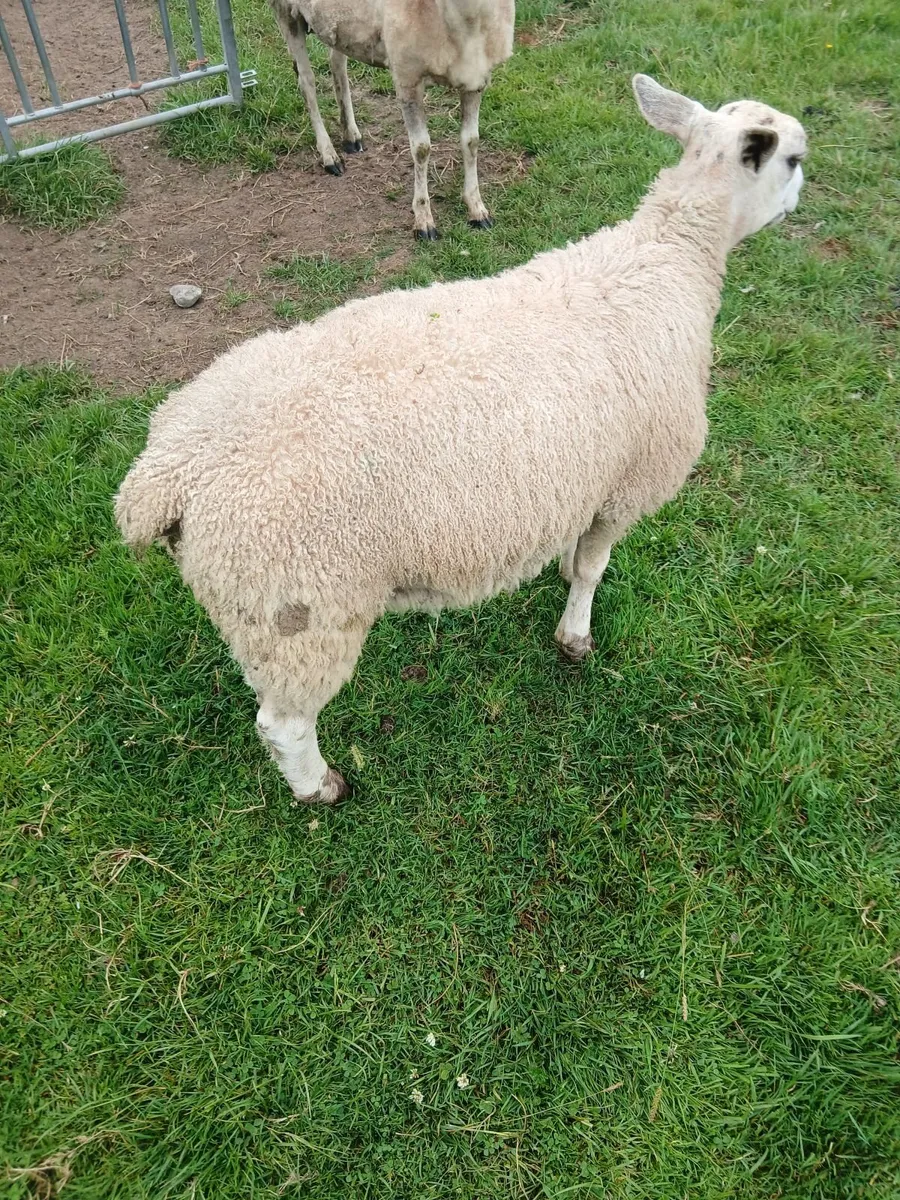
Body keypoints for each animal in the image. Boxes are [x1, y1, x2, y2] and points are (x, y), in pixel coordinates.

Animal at [115, 75, 807, 805]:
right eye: (793, 159)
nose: (800, 197)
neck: (671, 256)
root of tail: (164, 476)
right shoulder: (629, 483)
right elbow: (593, 572)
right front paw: (575, 638)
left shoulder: (587, 476)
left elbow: (576, 551)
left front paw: (563, 571)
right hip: (299, 607)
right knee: (283, 723)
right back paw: (321, 787)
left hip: (259, 606)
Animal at [266, 0, 515, 238]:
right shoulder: (407, 77)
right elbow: (421, 148)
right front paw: (424, 221)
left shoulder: (476, 76)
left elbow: (471, 142)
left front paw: (477, 209)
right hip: (285, 12)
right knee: (306, 82)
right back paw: (329, 155)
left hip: (340, 26)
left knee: (337, 63)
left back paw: (351, 136)